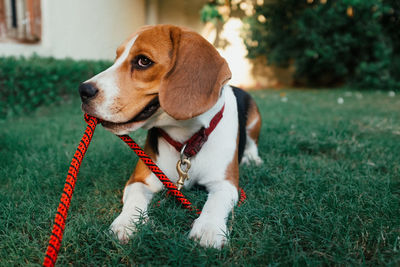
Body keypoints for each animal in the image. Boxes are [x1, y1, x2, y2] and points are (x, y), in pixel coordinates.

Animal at [79, 25, 264, 249]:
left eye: (143, 61)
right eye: (116, 58)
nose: (83, 90)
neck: (187, 140)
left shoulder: (225, 182)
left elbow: (215, 201)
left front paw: (208, 228)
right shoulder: (140, 179)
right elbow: (135, 197)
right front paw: (127, 223)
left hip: (254, 119)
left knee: (252, 143)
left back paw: (252, 159)